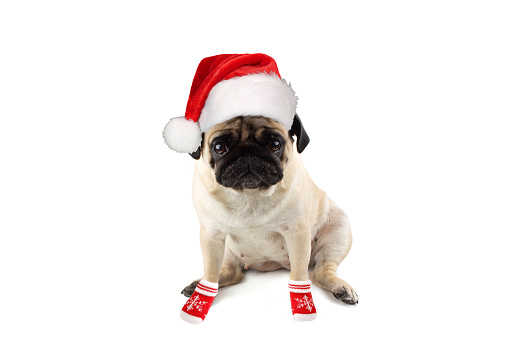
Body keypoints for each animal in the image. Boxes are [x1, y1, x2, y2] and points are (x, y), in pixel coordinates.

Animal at [181, 114, 360, 310]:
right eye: (219, 147)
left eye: (275, 144)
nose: (248, 153)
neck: (249, 195)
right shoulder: (212, 236)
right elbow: (211, 272)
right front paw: (200, 300)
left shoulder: (297, 235)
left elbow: (299, 275)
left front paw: (302, 303)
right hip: (227, 250)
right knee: (231, 272)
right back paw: (198, 285)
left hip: (338, 231)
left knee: (319, 272)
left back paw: (341, 288)